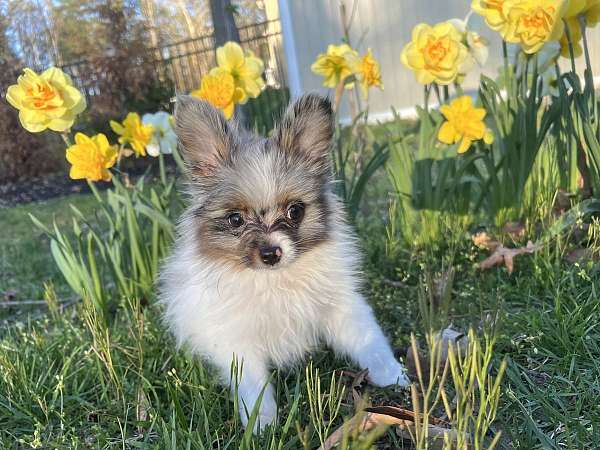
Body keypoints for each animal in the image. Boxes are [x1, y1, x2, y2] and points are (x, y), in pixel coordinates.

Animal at [159, 94, 408, 432]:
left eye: (295, 211)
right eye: (235, 220)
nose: (270, 253)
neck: (273, 279)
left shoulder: (342, 309)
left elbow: (368, 341)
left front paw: (393, 374)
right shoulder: (238, 342)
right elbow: (253, 386)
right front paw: (262, 424)